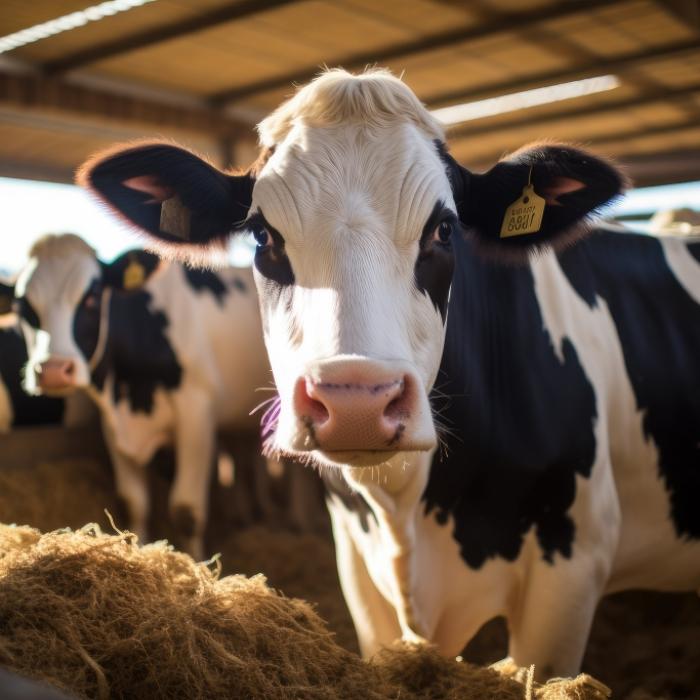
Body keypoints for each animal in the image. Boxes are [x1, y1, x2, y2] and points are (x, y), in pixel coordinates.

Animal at [8, 234, 271, 558]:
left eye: (93, 297)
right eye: (21, 307)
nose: (54, 370)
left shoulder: (196, 415)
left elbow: (187, 512)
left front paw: (196, 565)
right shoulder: (112, 424)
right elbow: (134, 503)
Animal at [77, 69, 700, 679]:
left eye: (444, 229)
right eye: (261, 234)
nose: (356, 403)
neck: (407, 511)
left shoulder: (569, 575)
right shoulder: (358, 569)